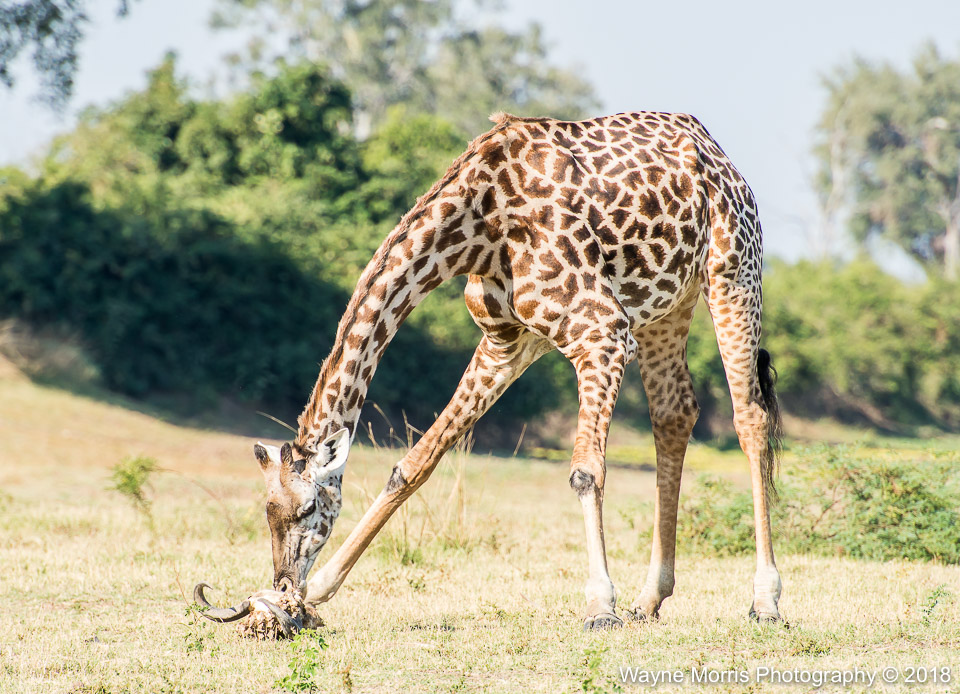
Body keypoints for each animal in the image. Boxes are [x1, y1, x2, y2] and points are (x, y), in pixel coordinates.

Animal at [196, 110, 784, 631]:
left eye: (306, 509)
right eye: (267, 511)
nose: (283, 588)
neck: (477, 228)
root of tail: (718, 155)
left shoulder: (602, 332)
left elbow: (585, 471)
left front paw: (599, 607)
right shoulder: (506, 342)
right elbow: (413, 464)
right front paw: (319, 593)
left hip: (733, 272)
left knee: (750, 418)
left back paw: (765, 601)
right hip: (666, 307)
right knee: (674, 415)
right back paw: (649, 599)